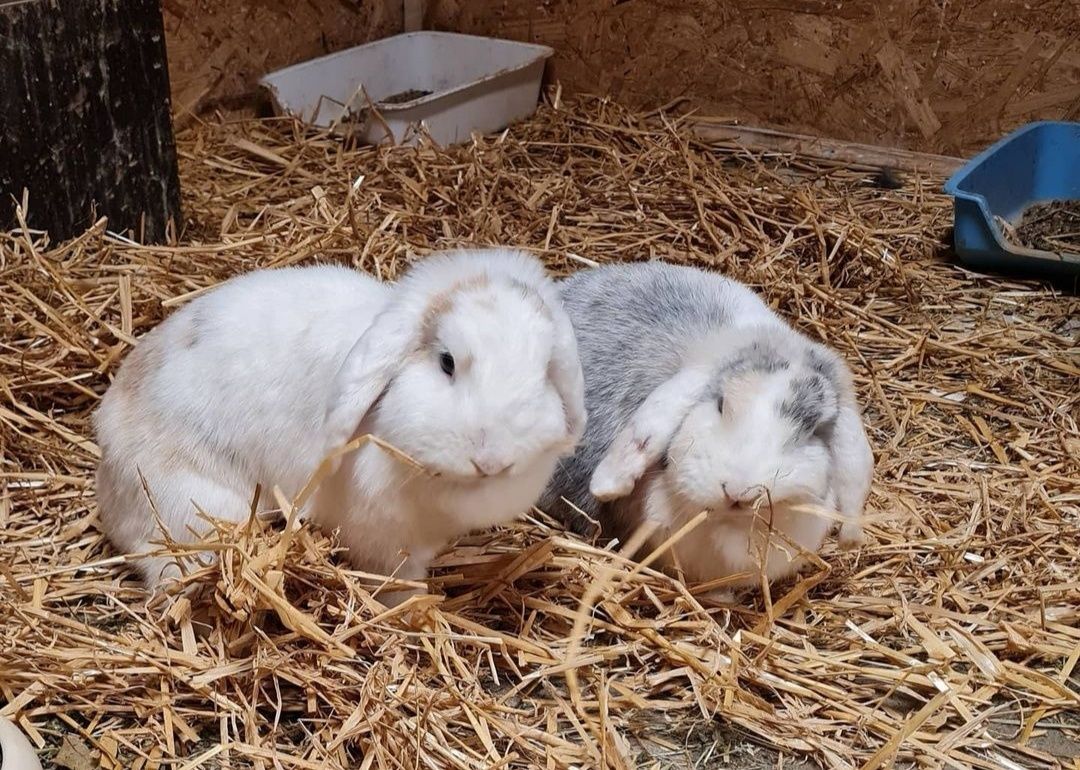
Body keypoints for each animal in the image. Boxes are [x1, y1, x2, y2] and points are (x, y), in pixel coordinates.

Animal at [96, 247, 587, 600]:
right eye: (447, 362)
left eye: (543, 370)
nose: (490, 459)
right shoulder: (386, 544)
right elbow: (398, 583)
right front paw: (413, 610)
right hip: (195, 511)